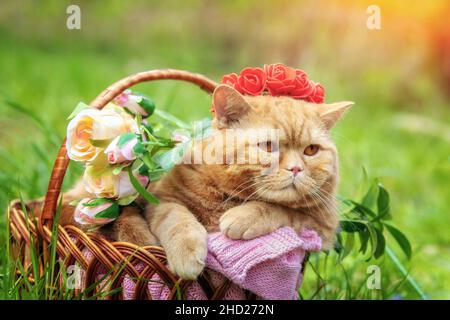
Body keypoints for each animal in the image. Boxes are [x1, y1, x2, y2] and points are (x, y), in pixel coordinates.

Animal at [59, 85, 352, 280]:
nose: (296, 169)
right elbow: (178, 219)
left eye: (311, 150)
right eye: (268, 146)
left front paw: (242, 217)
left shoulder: (323, 226)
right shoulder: (163, 199)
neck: (229, 198)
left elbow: (281, 209)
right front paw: (188, 253)